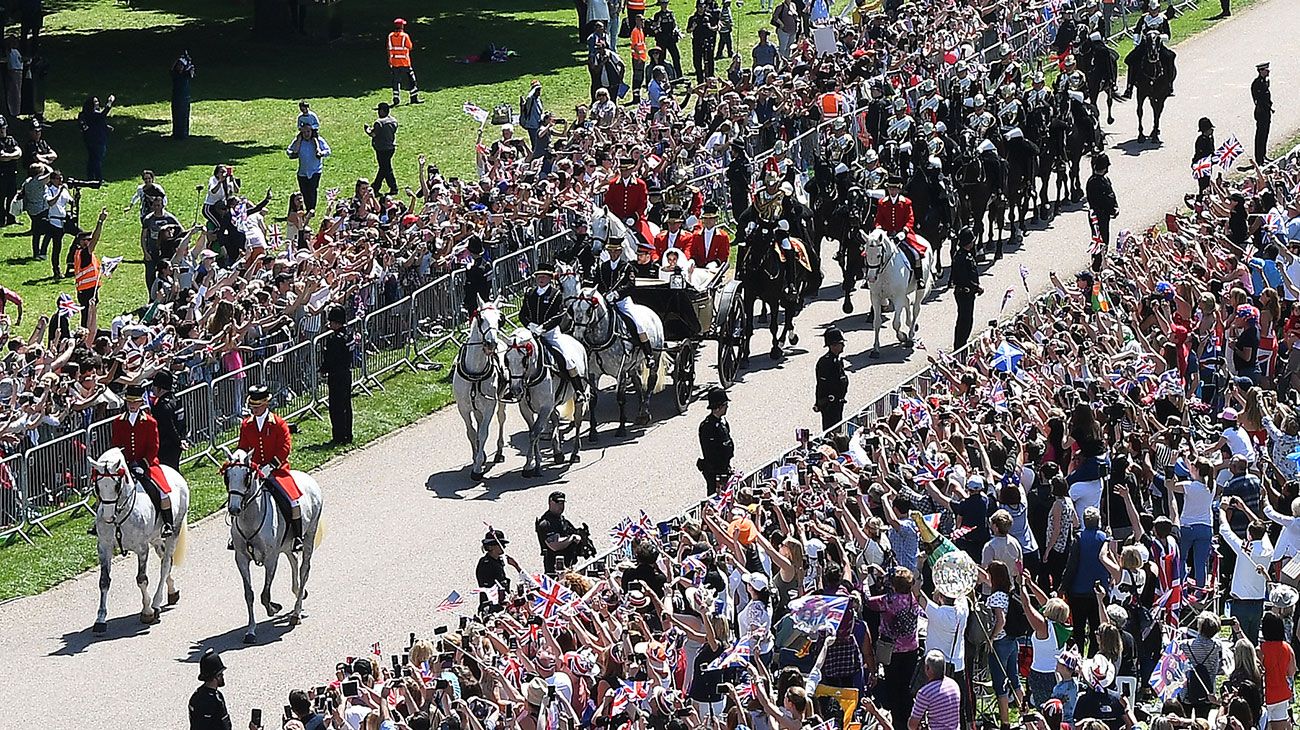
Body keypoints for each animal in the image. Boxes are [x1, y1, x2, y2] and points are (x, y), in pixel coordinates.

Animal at [91, 446, 189, 628]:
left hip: (174, 530)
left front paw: (147, 611)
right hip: (156, 538)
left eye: (117, 485)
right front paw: (100, 619)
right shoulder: (104, 547)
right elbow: (104, 581)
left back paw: (156, 603)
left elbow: (141, 579)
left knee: (166, 564)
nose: (107, 517)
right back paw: (172, 591)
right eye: (97, 486)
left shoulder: (142, 549)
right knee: (165, 559)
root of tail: (173, 471)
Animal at [220, 446, 322, 639]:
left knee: (304, 569)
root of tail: (308, 478)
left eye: (246, 477)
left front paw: (273, 608)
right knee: (293, 560)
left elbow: (265, 595)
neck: (251, 517)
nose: (234, 509)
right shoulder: (241, 559)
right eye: (227, 477)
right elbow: (250, 594)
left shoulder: (270, 559)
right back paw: (298, 592)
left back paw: (296, 613)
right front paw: (251, 630)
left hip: (309, 536)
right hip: (286, 545)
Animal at [449, 298, 504, 480]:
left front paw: (478, 467)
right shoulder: (463, 408)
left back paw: (499, 450)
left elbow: (483, 433)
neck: (475, 372)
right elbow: (472, 432)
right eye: (481, 318)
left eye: (499, 319)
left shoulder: (489, 407)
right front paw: (476, 457)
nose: (491, 344)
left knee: (501, 419)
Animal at [499, 324, 587, 475]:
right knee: (556, 417)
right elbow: (533, 432)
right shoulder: (526, 409)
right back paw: (558, 452)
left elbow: (535, 433)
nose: (515, 390)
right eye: (506, 359)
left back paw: (575, 453)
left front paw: (531, 464)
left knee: (577, 421)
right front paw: (533, 462)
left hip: (577, 398)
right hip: (552, 404)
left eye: (524, 360)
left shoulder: (545, 407)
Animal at [572, 287, 665, 436]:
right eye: (573, 309)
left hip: (655, 356)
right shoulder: (593, 374)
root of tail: (651, 311)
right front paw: (593, 432)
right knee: (637, 382)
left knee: (651, 380)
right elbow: (593, 400)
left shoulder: (620, 372)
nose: (577, 337)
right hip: (633, 365)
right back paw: (641, 411)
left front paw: (621, 428)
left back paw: (645, 411)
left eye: (588, 310)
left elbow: (621, 399)